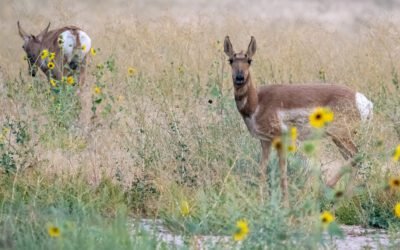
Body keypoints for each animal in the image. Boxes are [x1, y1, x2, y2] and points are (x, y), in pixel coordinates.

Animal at [223, 35, 374, 203]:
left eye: (249, 60)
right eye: (230, 60)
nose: (239, 78)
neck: (257, 101)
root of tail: (361, 99)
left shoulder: (279, 138)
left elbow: (282, 171)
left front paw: (285, 203)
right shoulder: (265, 141)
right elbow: (262, 169)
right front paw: (260, 200)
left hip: (341, 136)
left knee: (357, 156)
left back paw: (326, 190)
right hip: (340, 139)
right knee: (353, 160)